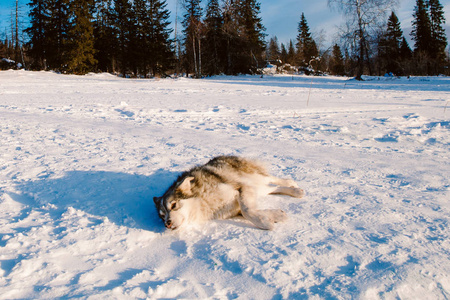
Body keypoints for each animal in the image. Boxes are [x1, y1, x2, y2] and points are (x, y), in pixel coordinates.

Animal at [153, 156, 304, 231]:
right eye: (162, 216)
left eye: (173, 205)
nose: (167, 224)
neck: (204, 200)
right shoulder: (241, 200)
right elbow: (250, 211)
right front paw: (275, 215)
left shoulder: (241, 188)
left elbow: (247, 211)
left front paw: (265, 223)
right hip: (258, 187)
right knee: (273, 188)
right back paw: (294, 190)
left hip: (255, 178)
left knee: (274, 180)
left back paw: (294, 186)